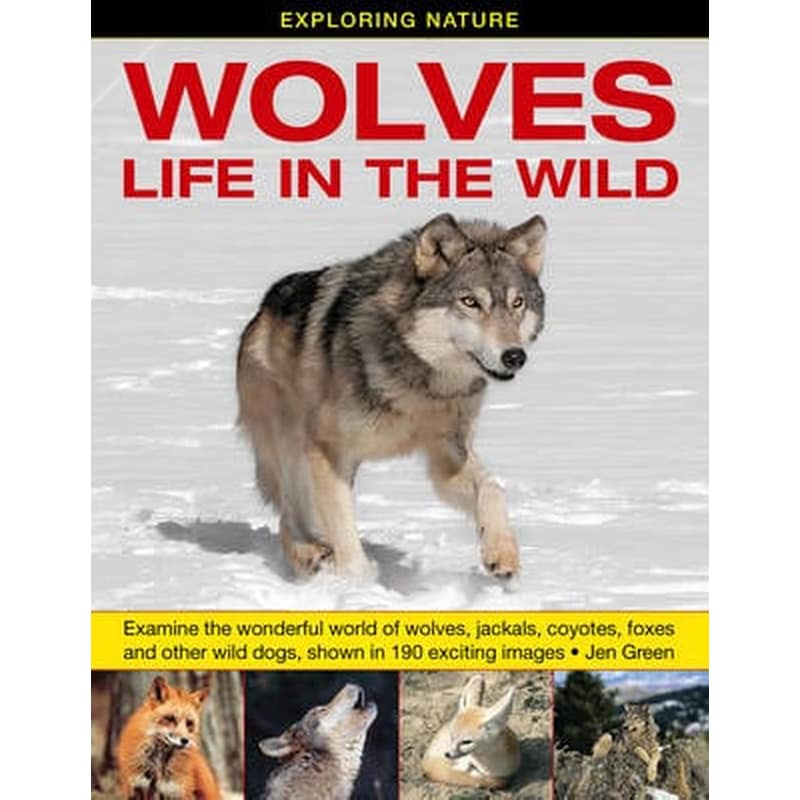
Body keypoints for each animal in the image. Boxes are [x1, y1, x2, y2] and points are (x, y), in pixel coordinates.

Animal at [236, 212, 546, 580]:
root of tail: (263, 309)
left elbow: (492, 488)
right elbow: (348, 542)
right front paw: (360, 585)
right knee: (289, 516)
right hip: (291, 446)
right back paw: (308, 556)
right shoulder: (327, 451)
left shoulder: (447, 455)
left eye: (517, 303)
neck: (422, 385)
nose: (514, 356)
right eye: (470, 302)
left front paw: (501, 554)